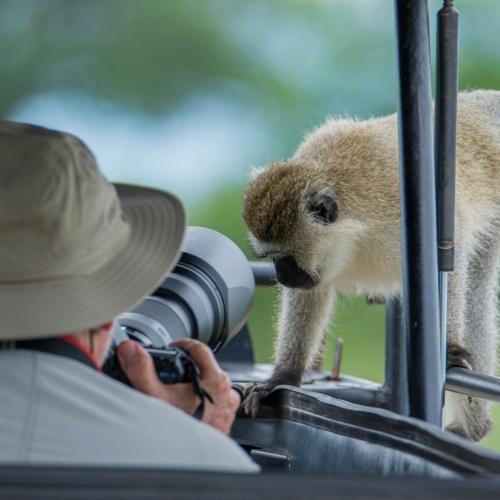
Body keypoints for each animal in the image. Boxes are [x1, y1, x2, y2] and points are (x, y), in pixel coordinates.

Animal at [243, 90, 500, 442]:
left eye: (286, 258)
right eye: (272, 259)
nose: (282, 276)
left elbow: (451, 252)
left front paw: (449, 348)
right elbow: (310, 295)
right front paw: (284, 375)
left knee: (474, 287)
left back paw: (470, 428)